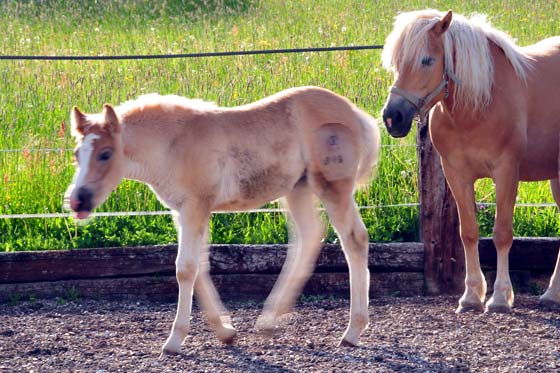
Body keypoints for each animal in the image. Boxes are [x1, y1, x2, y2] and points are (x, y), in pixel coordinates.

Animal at [64, 85, 380, 354]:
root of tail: (356, 114)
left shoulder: (195, 207)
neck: (172, 144)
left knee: (353, 238)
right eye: (77, 154)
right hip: (297, 189)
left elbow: (185, 269)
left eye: (105, 154)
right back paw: (269, 321)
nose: (77, 201)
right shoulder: (184, 211)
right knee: (310, 237)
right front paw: (226, 332)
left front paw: (174, 340)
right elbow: (200, 266)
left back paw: (352, 331)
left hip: (332, 186)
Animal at [380, 9, 560, 310]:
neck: (480, 106)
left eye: (427, 60)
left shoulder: (506, 172)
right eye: (396, 62)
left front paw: (500, 297)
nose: (393, 117)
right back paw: (552, 294)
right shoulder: (456, 174)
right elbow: (469, 232)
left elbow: (501, 234)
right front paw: (472, 296)